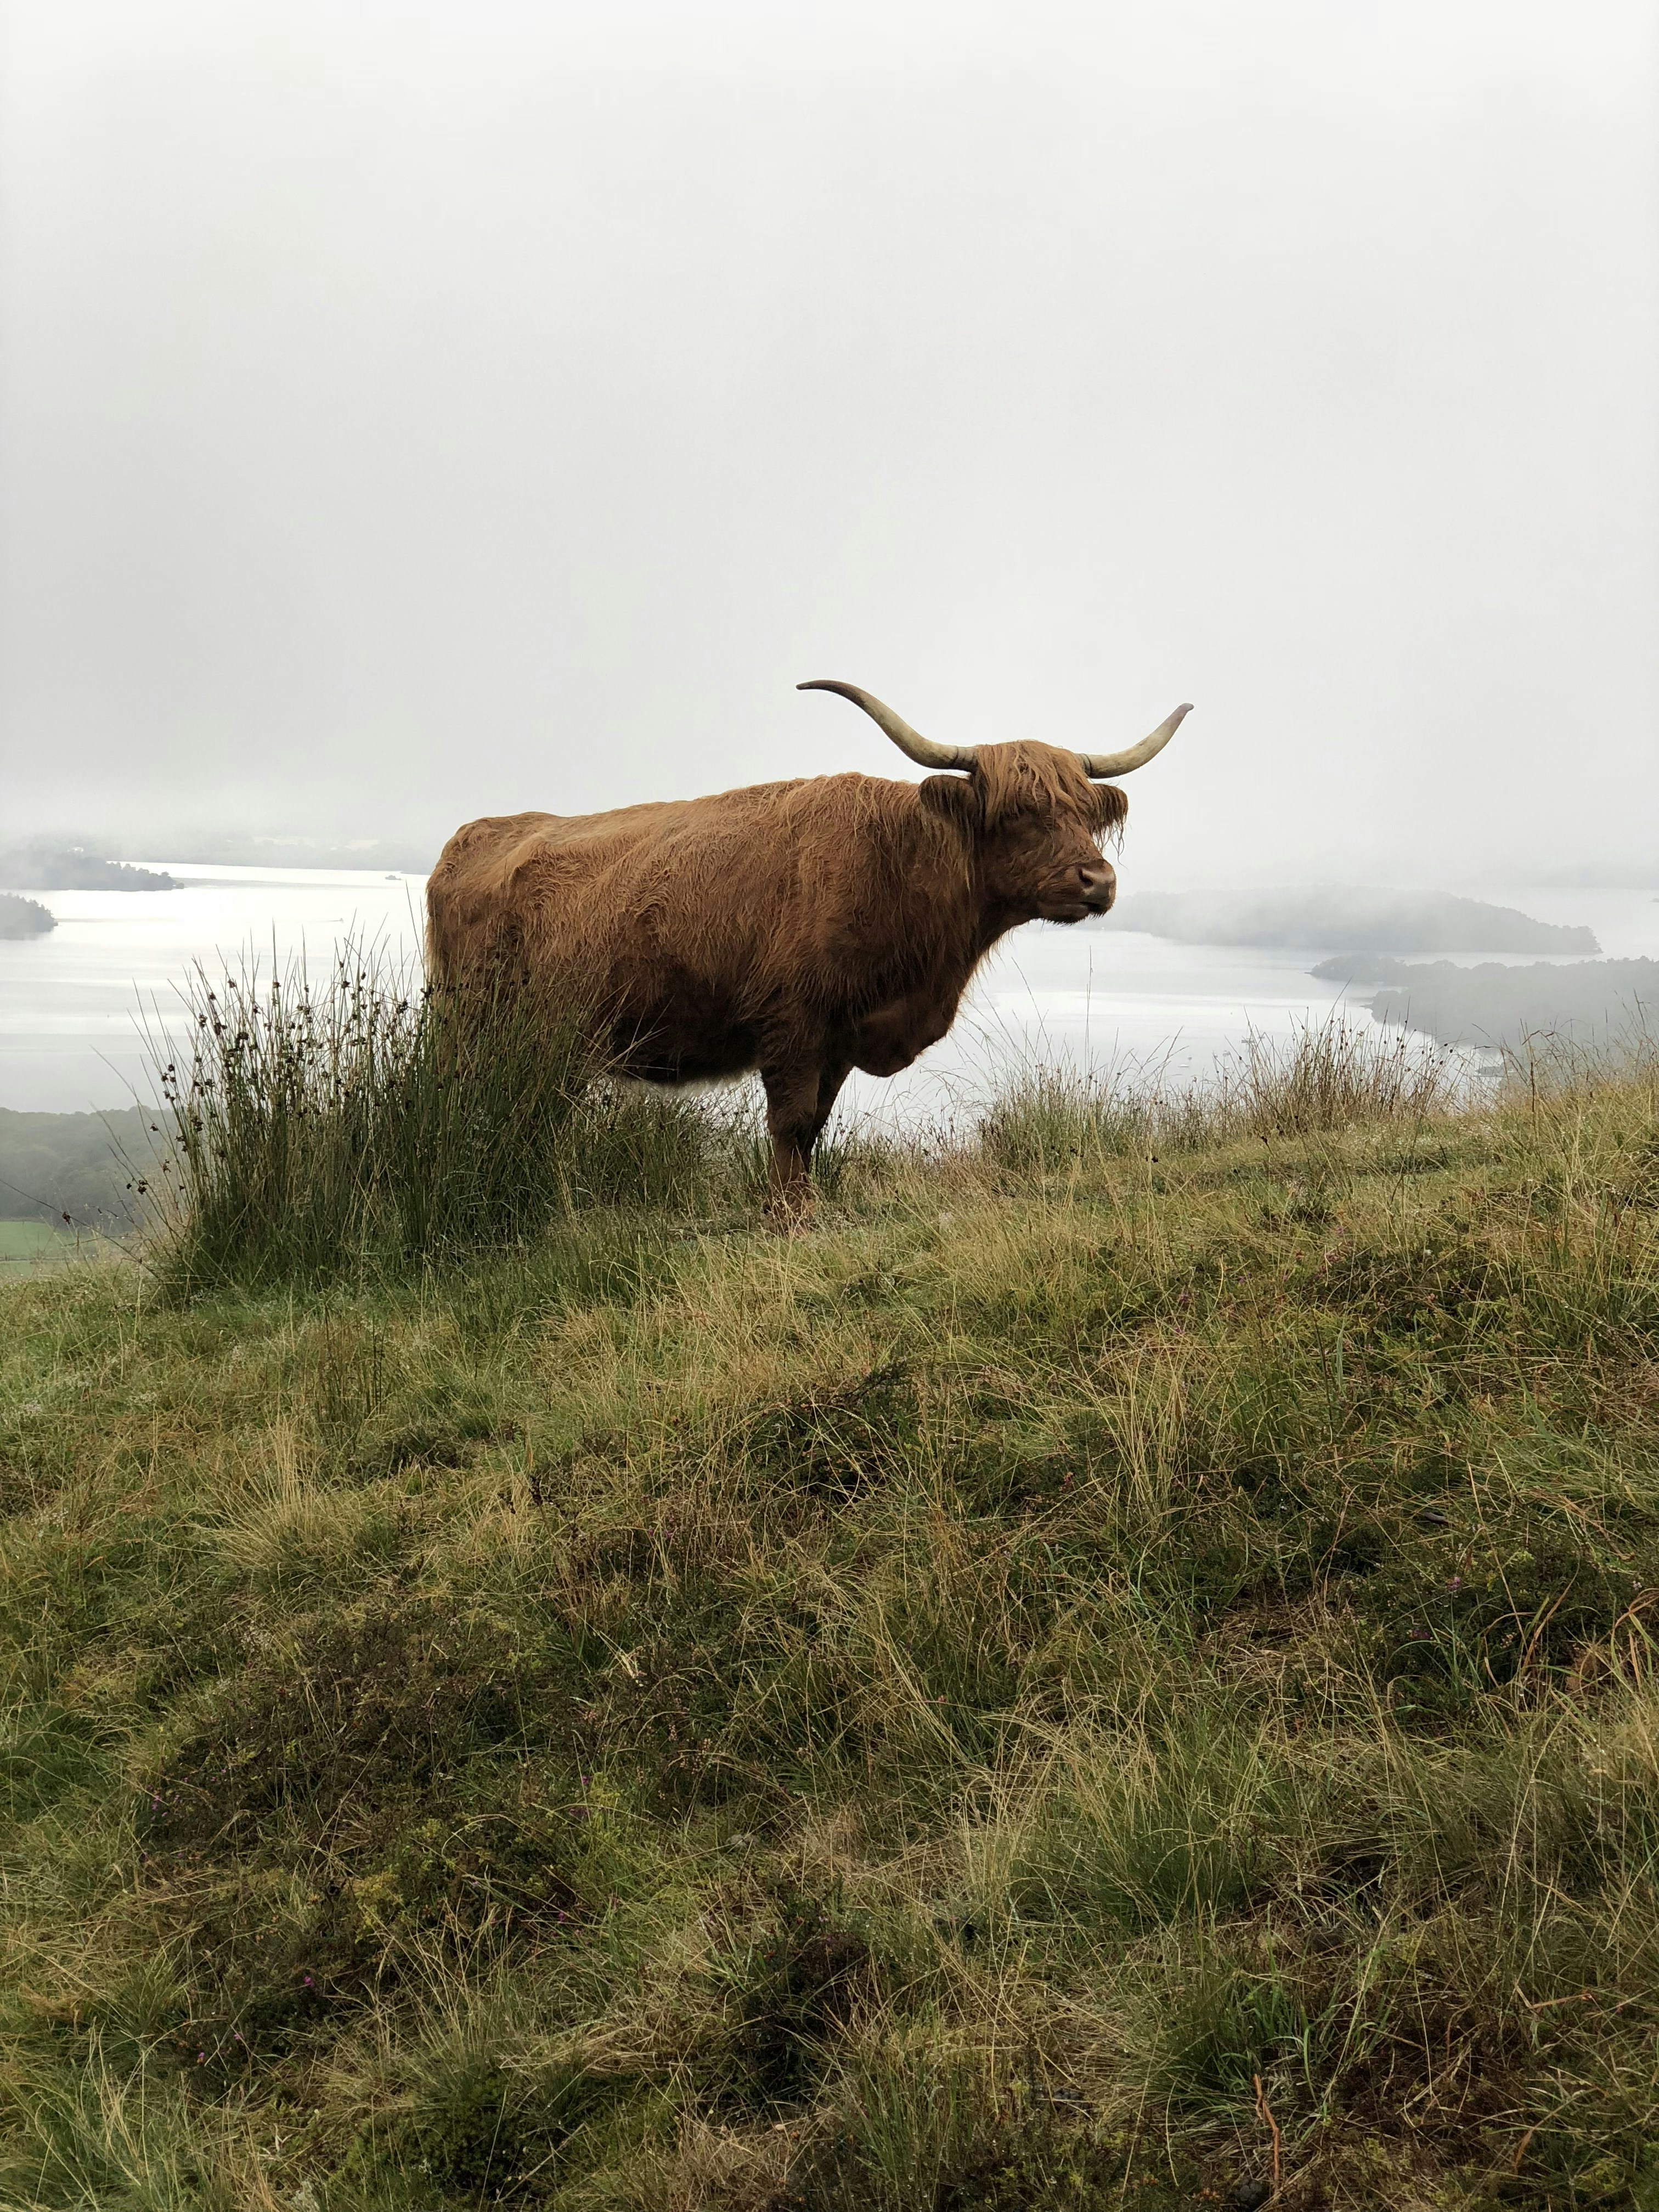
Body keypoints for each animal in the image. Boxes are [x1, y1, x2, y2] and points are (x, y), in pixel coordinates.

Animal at [426, 682, 1191, 1216]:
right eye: (1017, 814)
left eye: (1086, 813)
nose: (1098, 881)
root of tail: (476, 834)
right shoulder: (791, 1021)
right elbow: (790, 1123)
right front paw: (788, 1216)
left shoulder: (842, 1037)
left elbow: (816, 1126)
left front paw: (800, 1205)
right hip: (474, 1023)